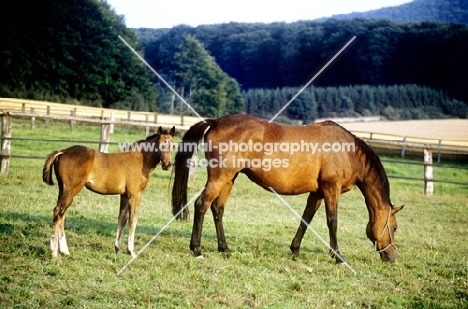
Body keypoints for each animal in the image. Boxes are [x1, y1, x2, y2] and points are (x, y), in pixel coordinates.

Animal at [43, 125, 176, 258]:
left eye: (173, 145)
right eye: (160, 144)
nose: (167, 165)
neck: (140, 159)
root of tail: (63, 151)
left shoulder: (124, 195)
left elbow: (122, 219)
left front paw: (117, 248)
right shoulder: (135, 194)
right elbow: (133, 220)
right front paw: (131, 251)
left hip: (63, 190)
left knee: (62, 214)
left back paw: (64, 250)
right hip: (71, 190)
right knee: (58, 211)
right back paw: (54, 252)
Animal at [174, 114, 404, 264]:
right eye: (394, 228)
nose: (391, 257)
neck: (347, 151)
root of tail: (216, 121)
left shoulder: (317, 193)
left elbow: (306, 219)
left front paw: (295, 250)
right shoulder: (332, 189)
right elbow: (333, 222)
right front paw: (338, 257)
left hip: (229, 179)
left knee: (217, 209)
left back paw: (224, 248)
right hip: (219, 177)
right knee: (201, 205)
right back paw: (196, 249)